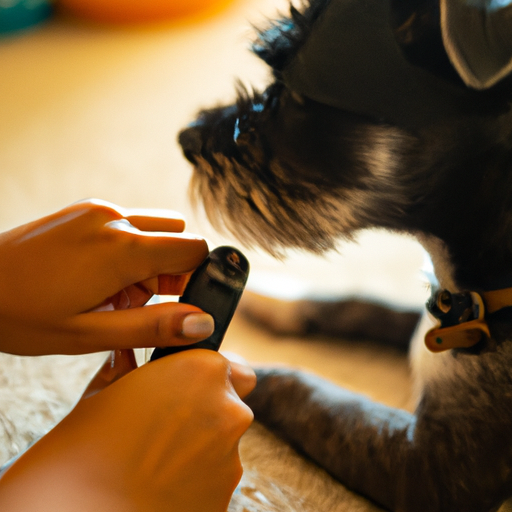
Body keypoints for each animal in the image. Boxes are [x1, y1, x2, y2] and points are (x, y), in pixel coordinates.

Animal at [178, 2, 512, 510]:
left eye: (294, 97)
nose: (186, 138)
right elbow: (356, 303)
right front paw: (269, 298)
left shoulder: (435, 471)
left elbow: (297, 387)